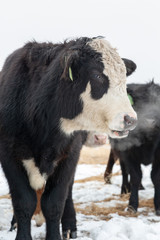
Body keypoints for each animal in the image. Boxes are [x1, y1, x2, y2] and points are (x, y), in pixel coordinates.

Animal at [0, 36, 136, 240]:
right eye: (97, 76)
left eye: (123, 77)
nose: (130, 119)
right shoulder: (9, 155)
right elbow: (23, 201)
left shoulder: (69, 154)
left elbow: (54, 203)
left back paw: (70, 227)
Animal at [104, 82, 160, 214]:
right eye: (139, 102)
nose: (150, 121)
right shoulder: (128, 152)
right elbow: (135, 176)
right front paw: (132, 205)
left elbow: (155, 177)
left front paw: (158, 206)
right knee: (125, 171)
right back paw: (125, 189)